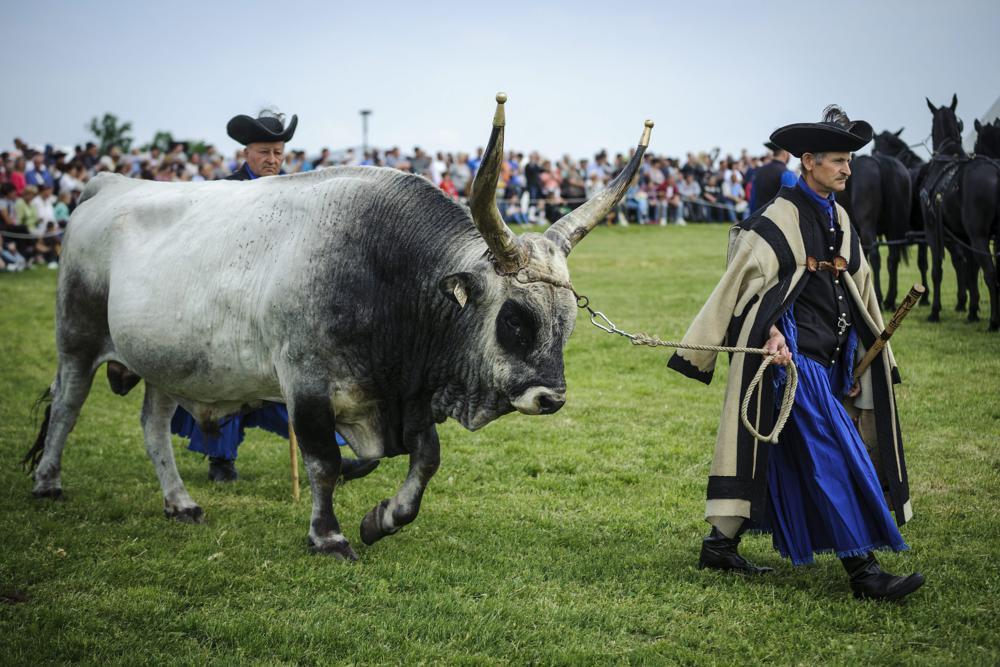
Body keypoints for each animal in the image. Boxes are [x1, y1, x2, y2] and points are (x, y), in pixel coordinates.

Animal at [25, 94, 656, 560]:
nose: (552, 397)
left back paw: (180, 503)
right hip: (77, 338)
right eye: (516, 321)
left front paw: (383, 517)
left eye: (566, 322)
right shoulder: (305, 386)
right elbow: (324, 461)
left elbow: (423, 458)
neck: (388, 271)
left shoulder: (403, 396)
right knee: (68, 405)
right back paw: (48, 484)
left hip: (164, 363)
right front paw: (328, 536)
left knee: (154, 427)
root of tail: (107, 185)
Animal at [844, 134, 916, 310]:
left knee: (876, 256)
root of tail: (881, 162)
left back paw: (879, 297)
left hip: (868, 226)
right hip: (893, 230)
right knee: (893, 258)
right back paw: (890, 299)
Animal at [920, 94, 1000, 332]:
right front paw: (972, 310)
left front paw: (935, 311)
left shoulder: (933, 231)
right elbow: (970, 271)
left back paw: (994, 322)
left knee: (990, 273)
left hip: (979, 236)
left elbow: (937, 270)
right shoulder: (963, 237)